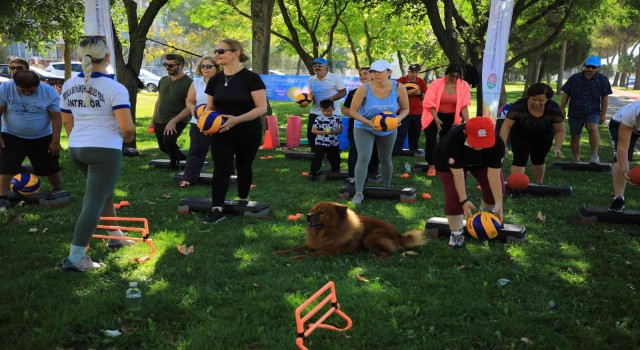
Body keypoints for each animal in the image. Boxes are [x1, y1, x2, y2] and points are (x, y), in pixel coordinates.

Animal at [274, 201, 428, 258]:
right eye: (312, 210)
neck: (324, 233)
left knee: (388, 254)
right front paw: (279, 252)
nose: (308, 216)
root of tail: (398, 234)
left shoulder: (327, 251)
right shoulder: (310, 244)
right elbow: (293, 248)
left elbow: (308, 255)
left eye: (321, 212)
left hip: (370, 237)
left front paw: (295, 258)